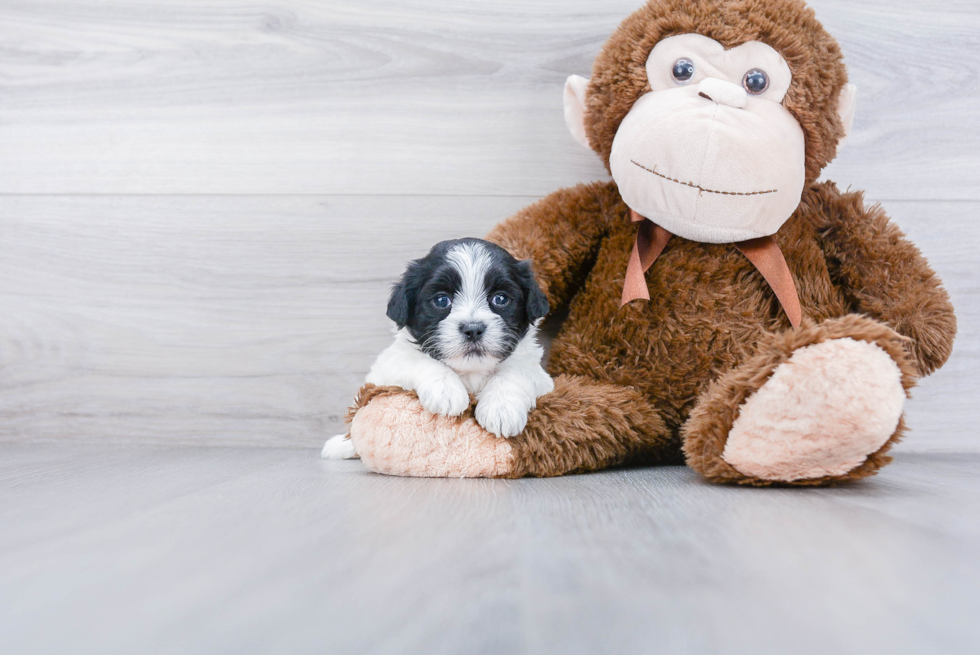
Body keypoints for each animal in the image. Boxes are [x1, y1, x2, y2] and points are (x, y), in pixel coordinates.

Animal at [322, 238, 552, 458]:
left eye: (500, 299)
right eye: (442, 300)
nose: (473, 329)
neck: (471, 371)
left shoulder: (541, 378)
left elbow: (515, 372)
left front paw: (502, 408)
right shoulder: (391, 365)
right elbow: (420, 360)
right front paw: (446, 391)